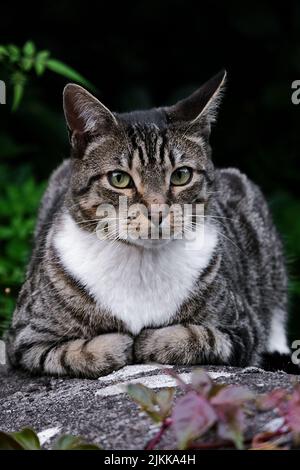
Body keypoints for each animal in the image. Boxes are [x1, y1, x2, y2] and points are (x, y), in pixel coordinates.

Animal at [4, 70, 296, 378]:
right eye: (119, 179)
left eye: (181, 175)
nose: (157, 211)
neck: (142, 262)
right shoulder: (25, 337)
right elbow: (74, 352)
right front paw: (118, 343)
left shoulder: (242, 330)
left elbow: (198, 336)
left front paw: (148, 340)